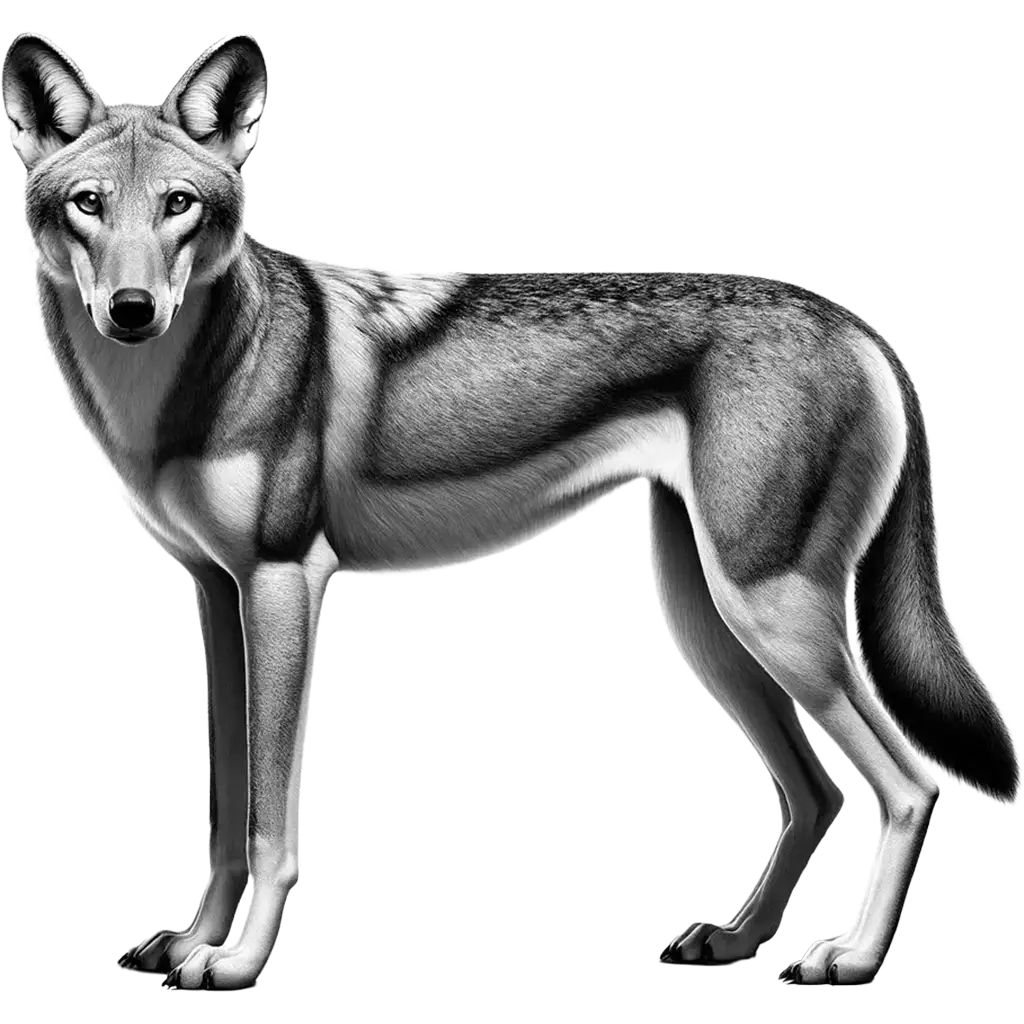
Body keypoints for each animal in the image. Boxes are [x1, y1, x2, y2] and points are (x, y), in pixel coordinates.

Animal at [1, 29, 1019, 991]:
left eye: (180, 205)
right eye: (89, 204)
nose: (133, 309)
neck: (180, 386)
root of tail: (858, 326)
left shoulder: (284, 585)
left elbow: (267, 821)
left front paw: (242, 963)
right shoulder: (219, 594)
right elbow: (222, 811)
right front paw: (193, 944)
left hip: (767, 620)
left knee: (910, 788)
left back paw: (852, 958)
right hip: (714, 626)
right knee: (815, 793)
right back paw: (737, 941)